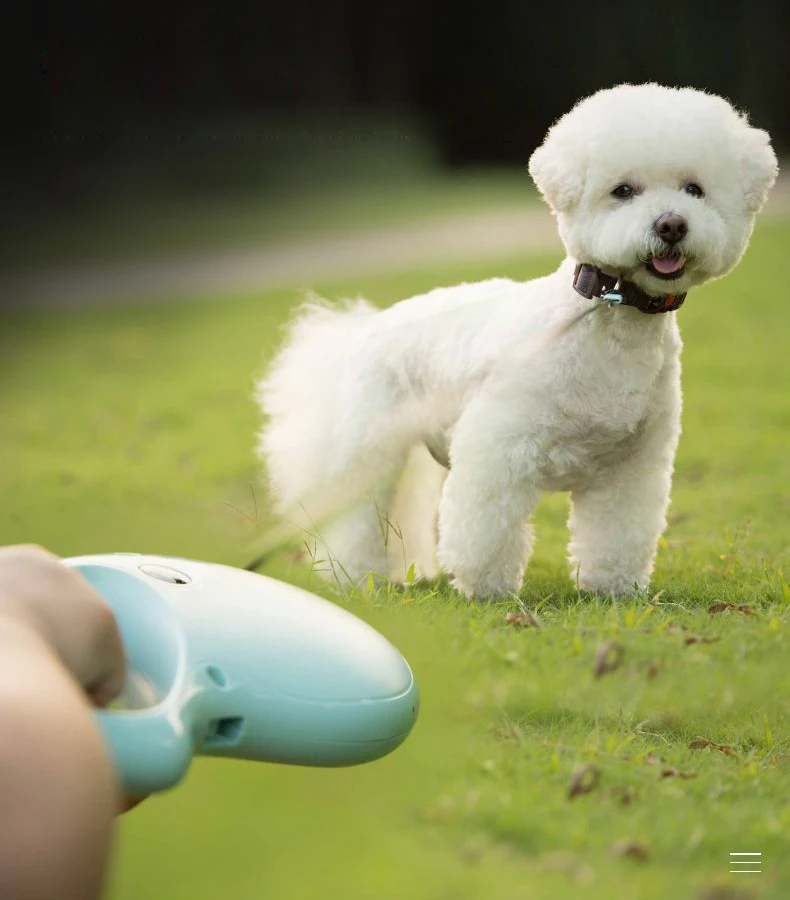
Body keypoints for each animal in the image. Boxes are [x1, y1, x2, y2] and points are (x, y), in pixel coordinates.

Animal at [256, 84, 776, 596]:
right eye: (623, 191)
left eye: (695, 190)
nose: (671, 225)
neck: (607, 317)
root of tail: (367, 327)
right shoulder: (497, 449)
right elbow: (486, 527)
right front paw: (486, 589)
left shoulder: (631, 466)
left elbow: (616, 534)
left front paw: (612, 588)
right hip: (370, 444)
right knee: (356, 514)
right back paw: (356, 578)